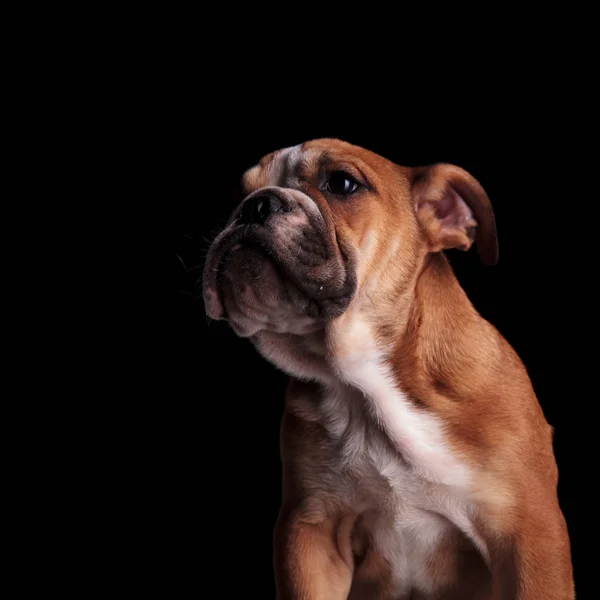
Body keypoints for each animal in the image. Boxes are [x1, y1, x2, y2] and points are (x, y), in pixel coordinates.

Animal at [204, 138, 576, 596]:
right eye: (239, 195)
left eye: (342, 183)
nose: (255, 205)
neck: (362, 382)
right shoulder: (310, 532)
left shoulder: (530, 536)